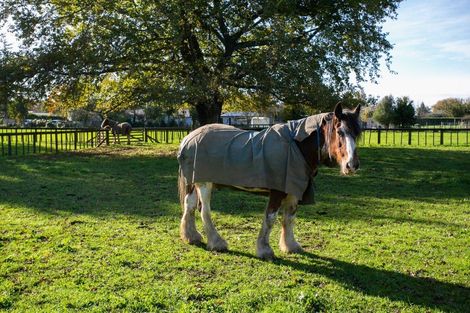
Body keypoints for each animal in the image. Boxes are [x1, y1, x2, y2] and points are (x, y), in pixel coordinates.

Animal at [176, 102, 360, 258]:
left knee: (189, 205)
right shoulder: (277, 191)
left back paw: (191, 236)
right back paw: (217, 242)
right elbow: (270, 218)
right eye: (340, 132)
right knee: (204, 210)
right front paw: (264, 250)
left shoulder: (294, 191)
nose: (352, 165)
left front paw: (290, 245)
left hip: (194, 182)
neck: (296, 146)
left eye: (357, 133)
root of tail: (188, 138)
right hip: (204, 184)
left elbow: (289, 218)